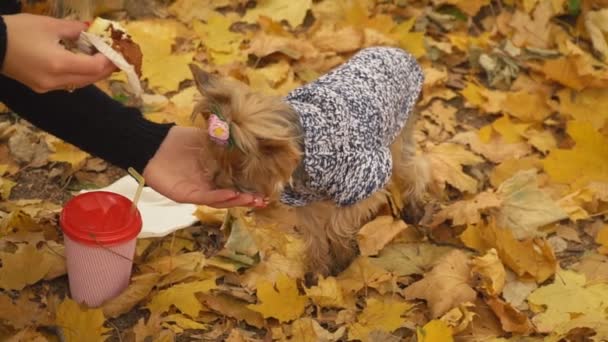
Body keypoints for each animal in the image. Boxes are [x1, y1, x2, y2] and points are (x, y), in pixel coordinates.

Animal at [190, 46, 428, 276]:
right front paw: (318, 271)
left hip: (398, 136)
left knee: (416, 168)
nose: (215, 182)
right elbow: (315, 236)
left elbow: (335, 226)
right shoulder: (304, 202)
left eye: (237, 170)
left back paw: (415, 208)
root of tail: (399, 52)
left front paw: (344, 259)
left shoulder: (366, 185)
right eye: (214, 158)